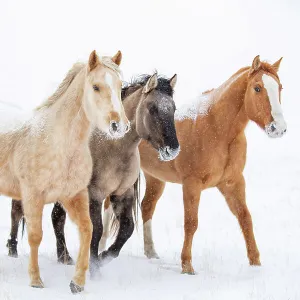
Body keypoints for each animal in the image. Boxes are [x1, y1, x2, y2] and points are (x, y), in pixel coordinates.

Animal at [0, 49, 129, 292]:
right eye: (96, 87)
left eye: (119, 85)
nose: (119, 126)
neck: (57, 143)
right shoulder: (33, 196)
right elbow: (35, 236)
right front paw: (36, 280)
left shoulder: (74, 195)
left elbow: (87, 230)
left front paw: (77, 282)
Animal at [7, 72, 180, 276]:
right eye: (152, 108)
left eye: (173, 109)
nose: (172, 149)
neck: (112, 147)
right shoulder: (94, 195)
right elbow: (96, 230)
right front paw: (95, 267)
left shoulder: (123, 194)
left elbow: (127, 229)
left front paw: (104, 256)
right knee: (17, 210)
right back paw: (12, 250)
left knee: (56, 217)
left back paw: (64, 257)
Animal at [101, 55, 286, 276]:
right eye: (257, 88)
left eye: (280, 87)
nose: (278, 128)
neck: (217, 128)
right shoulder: (192, 185)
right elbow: (191, 223)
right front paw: (187, 266)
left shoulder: (232, 182)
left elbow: (245, 218)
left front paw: (255, 263)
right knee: (107, 208)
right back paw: (101, 248)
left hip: (155, 179)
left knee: (147, 207)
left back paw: (151, 252)